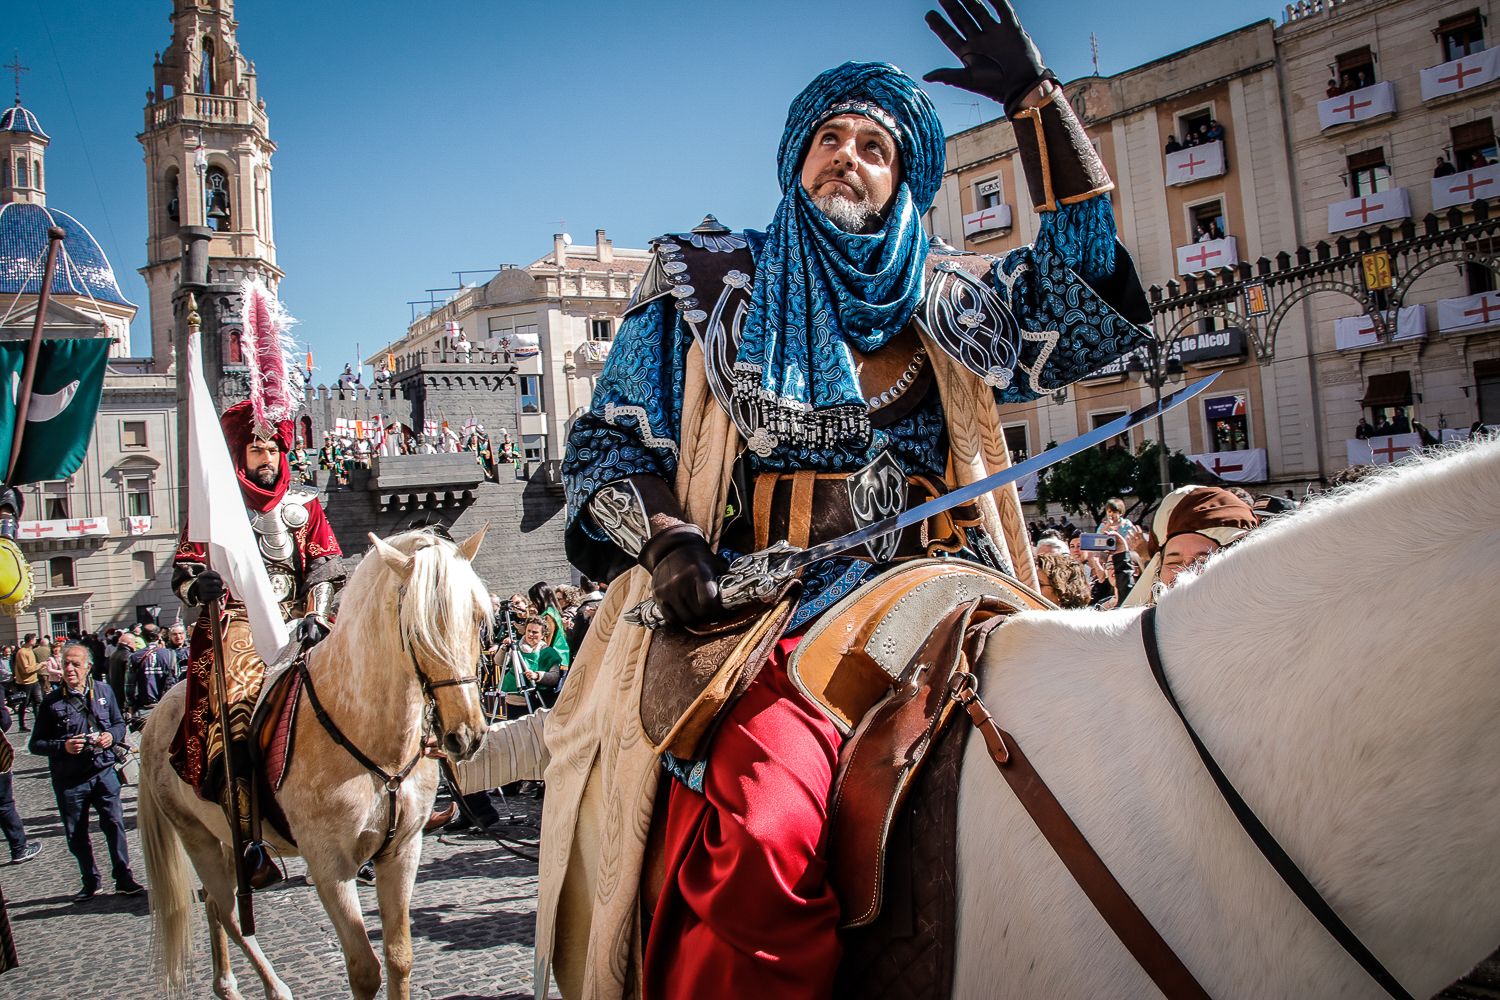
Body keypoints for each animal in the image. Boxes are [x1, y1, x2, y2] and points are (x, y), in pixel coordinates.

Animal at [137, 527, 489, 995]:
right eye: (417, 627)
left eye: (479, 618)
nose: (466, 734)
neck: (368, 730)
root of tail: (157, 712)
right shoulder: (329, 866)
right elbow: (364, 969)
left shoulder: (402, 852)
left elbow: (400, 958)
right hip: (196, 837)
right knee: (230, 913)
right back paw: (273, 987)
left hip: (223, 836)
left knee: (215, 905)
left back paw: (227, 984)